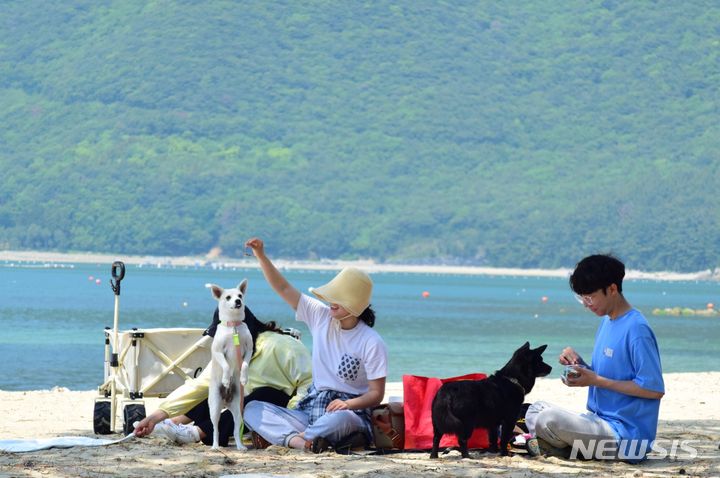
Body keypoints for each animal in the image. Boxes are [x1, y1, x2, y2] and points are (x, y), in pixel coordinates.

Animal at [205, 278, 253, 450]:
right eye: (228, 297)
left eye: (240, 295)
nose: (238, 301)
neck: (233, 327)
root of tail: (226, 401)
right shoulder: (218, 352)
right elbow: (226, 365)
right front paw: (226, 379)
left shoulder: (248, 350)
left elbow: (244, 365)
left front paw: (244, 378)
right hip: (214, 409)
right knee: (215, 429)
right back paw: (215, 446)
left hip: (238, 411)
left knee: (236, 428)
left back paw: (240, 446)